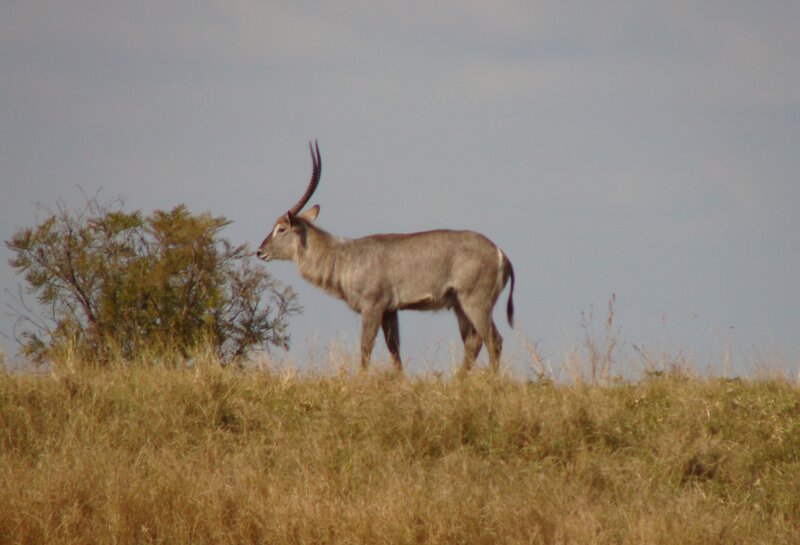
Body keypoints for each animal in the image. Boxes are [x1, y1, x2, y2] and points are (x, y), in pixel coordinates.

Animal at [256, 141, 515, 372]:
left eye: (281, 228)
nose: (260, 251)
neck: (342, 256)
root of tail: (500, 253)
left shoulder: (373, 307)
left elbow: (365, 349)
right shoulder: (391, 311)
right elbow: (395, 350)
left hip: (475, 302)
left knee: (494, 341)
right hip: (460, 305)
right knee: (473, 343)